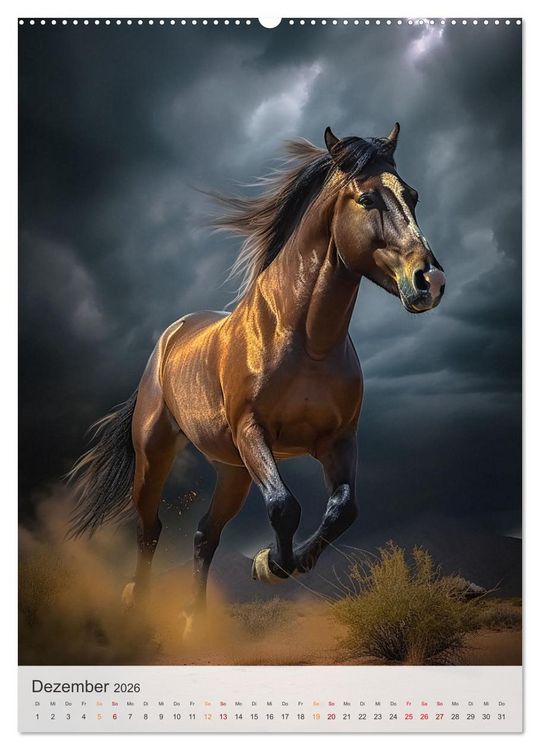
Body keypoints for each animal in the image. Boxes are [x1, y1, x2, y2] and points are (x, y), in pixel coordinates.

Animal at [68, 123, 446, 631]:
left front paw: (285, 563)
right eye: (367, 199)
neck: (306, 339)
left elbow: (343, 509)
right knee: (149, 528)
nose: (430, 281)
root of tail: (170, 337)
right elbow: (285, 506)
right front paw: (272, 564)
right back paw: (136, 606)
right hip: (157, 455)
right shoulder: (252, 430)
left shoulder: (338, 440)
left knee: (204, 535)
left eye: (413, 195)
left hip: (233, 471)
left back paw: (193, 623)